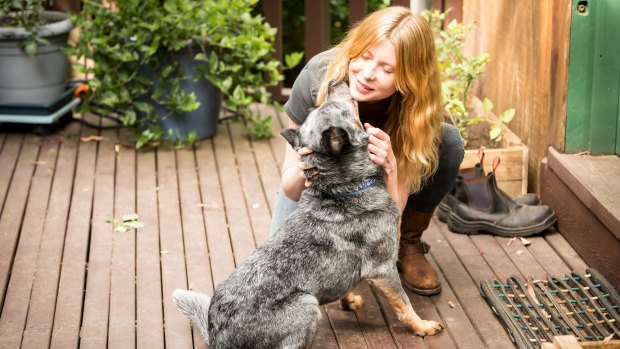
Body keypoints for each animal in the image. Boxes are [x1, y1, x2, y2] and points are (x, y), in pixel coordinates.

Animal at [172, 79, 444, 348]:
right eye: (336, 107)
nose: (334, 81)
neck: (343, 190)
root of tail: (217, 337)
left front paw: (349, 300)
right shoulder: (383, 269)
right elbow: (405, 305)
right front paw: (423, 326)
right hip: (307, 303)